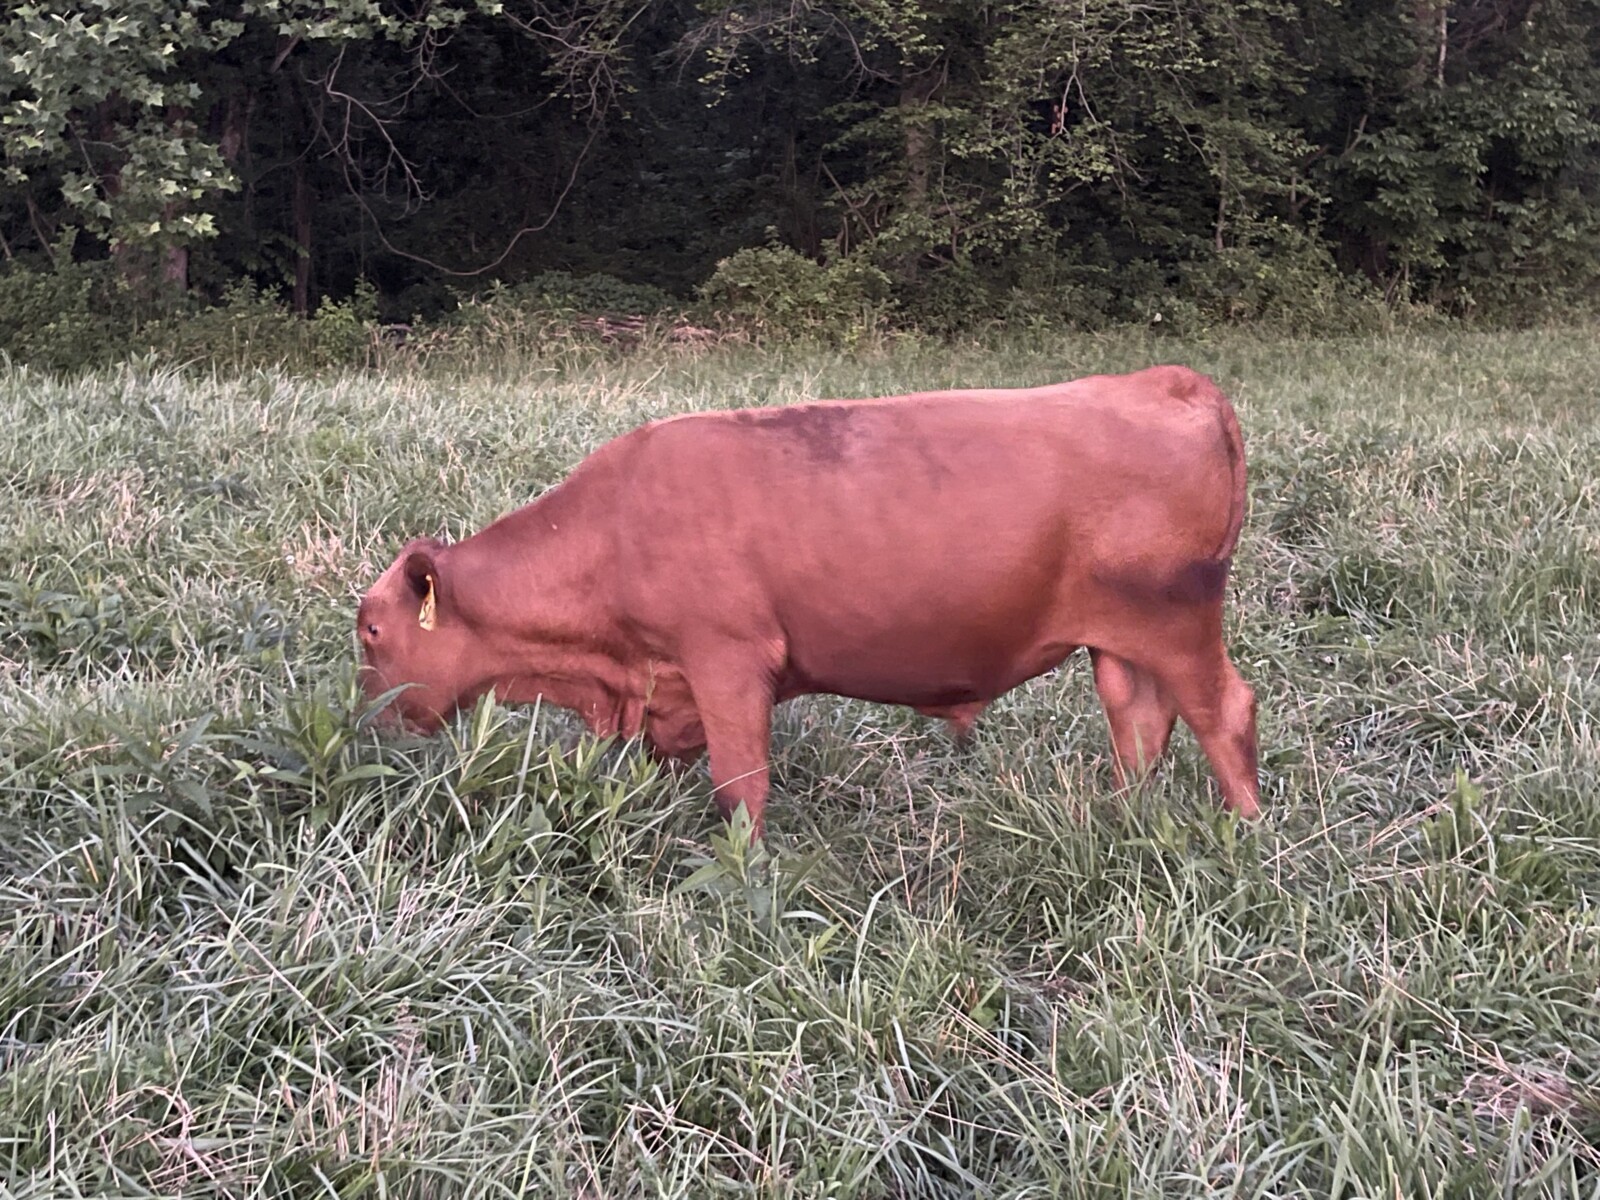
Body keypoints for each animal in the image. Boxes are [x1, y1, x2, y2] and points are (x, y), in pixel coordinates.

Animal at [355, 365, 1261, 838]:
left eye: (370, 631)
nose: (370, 732)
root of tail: (1166, 381)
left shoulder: (727, 659)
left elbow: (740, 787)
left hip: (1177, 623)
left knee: (1224, 711)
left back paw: (1245, 838)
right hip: (1119, 639)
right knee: (1138, 721)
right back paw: (1121, 823)